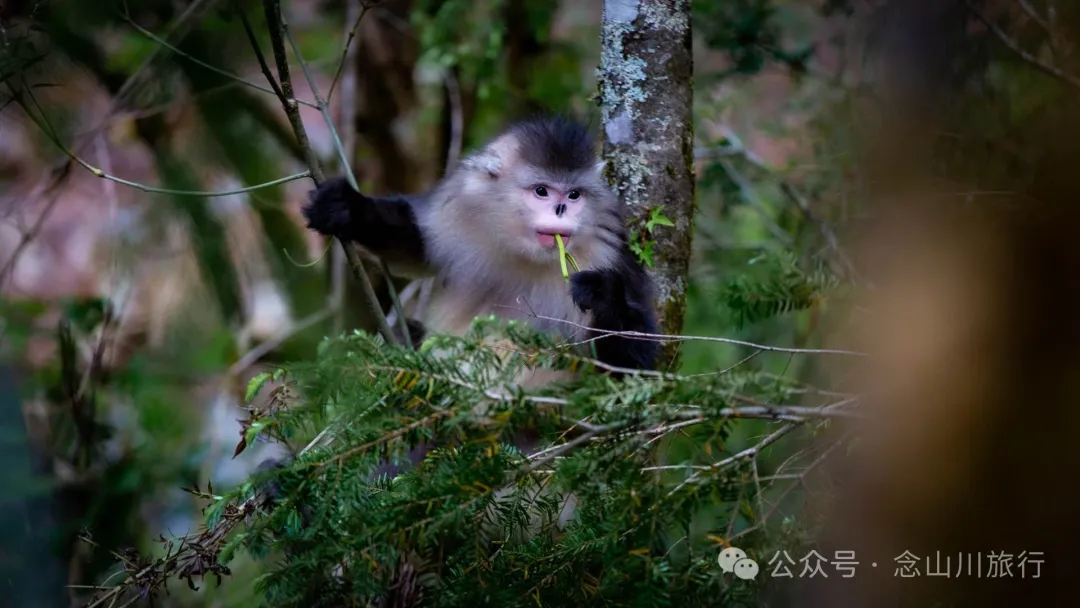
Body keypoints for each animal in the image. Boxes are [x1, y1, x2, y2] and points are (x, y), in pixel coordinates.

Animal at [301, 114, 660, 380]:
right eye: (542, 191)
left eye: (574, 195)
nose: (561, 210)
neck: (524, 252)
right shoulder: (461, 206)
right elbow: (417, 244)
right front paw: (348, 208)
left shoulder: (608, 248)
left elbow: (637, 369)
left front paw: (602, 292)